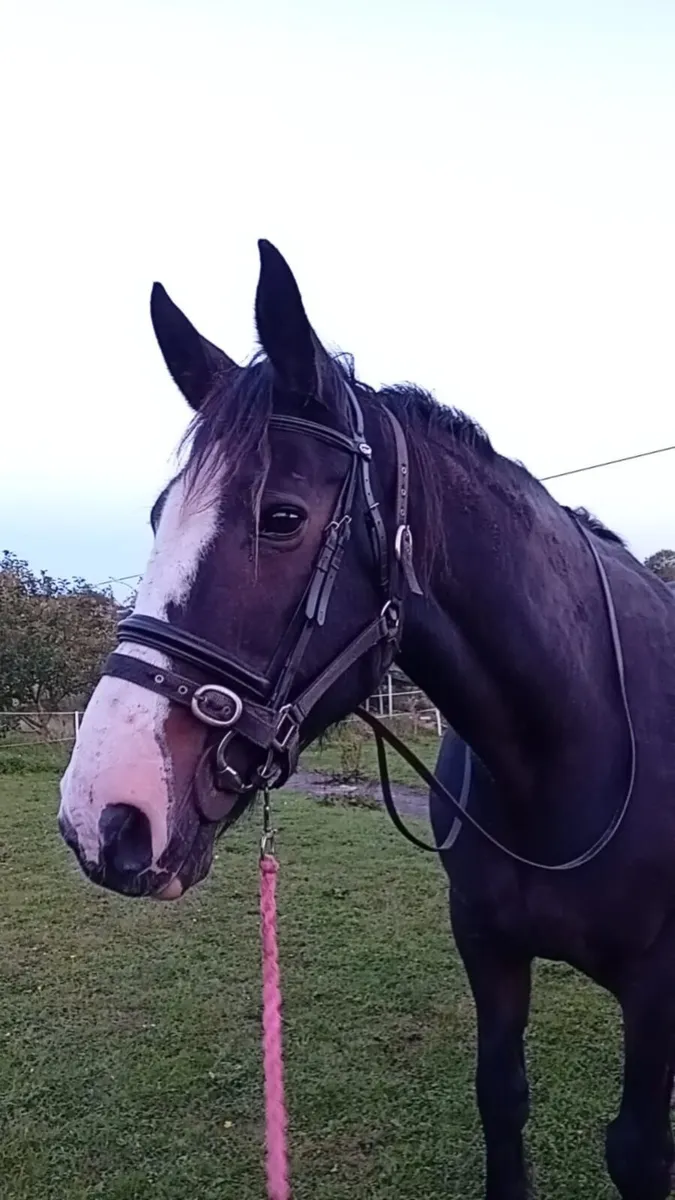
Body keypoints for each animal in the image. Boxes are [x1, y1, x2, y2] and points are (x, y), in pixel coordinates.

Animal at [58, 240, 675, 1199]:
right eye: (160, 515)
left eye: (281, 517)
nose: (104, 816)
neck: (576, 752)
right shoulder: (488, 949)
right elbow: (501, 1094)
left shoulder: (656, 988)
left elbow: (638, 1150)